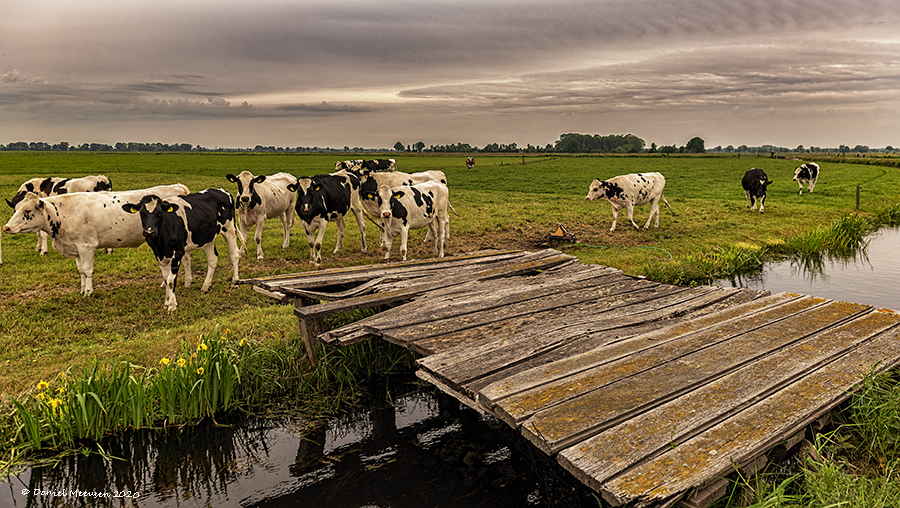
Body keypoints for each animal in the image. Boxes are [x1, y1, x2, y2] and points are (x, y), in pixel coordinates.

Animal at [3, 184, 190, 296]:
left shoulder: (87, 247)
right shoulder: (76, 248)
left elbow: (87, 271)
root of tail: (177, 186)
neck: (63, 213)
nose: (6, 227)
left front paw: (88, 292)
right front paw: (82, 289)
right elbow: (80, 271)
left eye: (27, 210)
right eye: (15, 209)